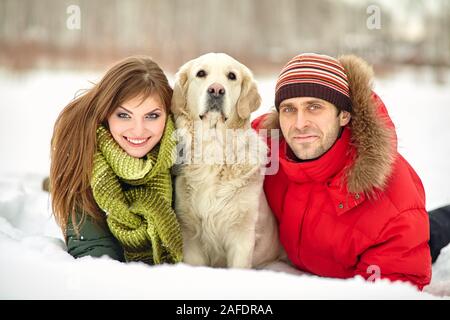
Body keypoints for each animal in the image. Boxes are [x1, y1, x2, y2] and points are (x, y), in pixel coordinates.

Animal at [171, 52, 284, 268]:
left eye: (232, 76)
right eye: (201, 73)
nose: (216, 90)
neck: (213, 147)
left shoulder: (241, 235)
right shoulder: (190, 234)